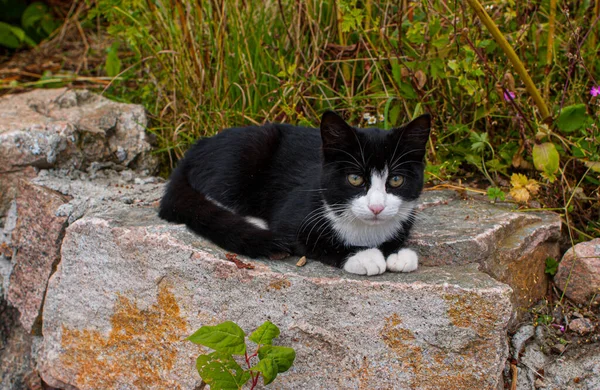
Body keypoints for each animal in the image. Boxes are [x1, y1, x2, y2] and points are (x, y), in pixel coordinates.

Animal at [158, 111, 432, 276]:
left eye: (396, 180)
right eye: (354, 179)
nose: (377, 207)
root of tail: (195, 148)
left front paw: (397, 252)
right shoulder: (295, 212)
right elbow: (311, 241)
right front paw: (364, 256)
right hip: (245, 152)